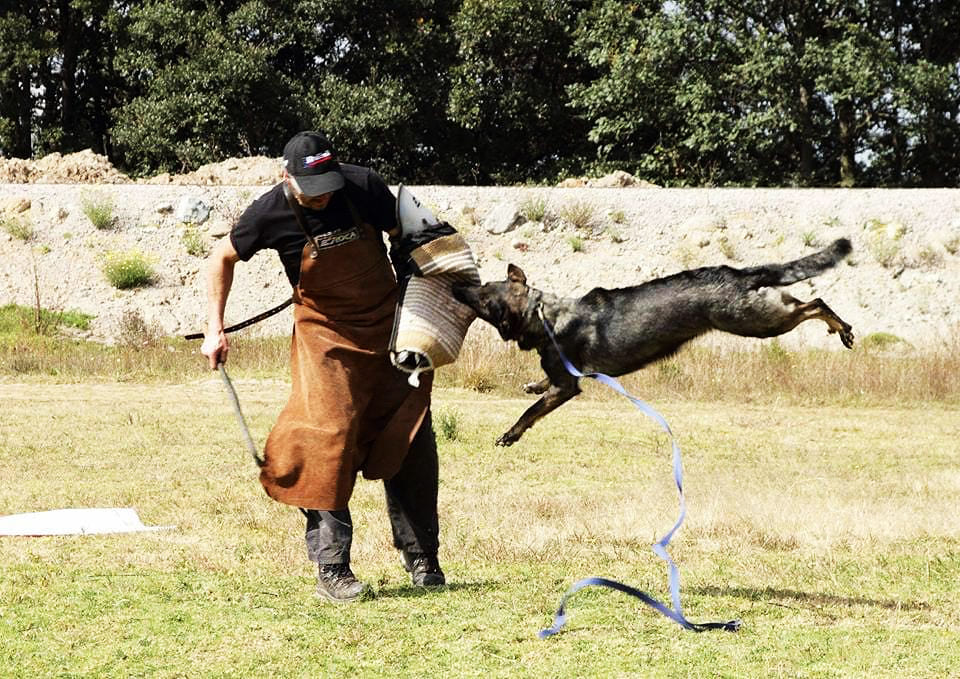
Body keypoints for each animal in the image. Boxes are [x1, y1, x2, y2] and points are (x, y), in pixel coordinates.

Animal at [450, 236, 856, 448]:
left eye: (483, 300)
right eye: (485, 288)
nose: (457, 288)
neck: (544, 315)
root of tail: (737, 273)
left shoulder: (567, 387)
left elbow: (531, 411)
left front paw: (510, 434)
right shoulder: (561, 378)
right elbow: (539, 387)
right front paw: (532, 384)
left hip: (756, 322)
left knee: (816, 303)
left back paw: (842, 328)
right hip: (766, 311)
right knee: (809, 300)